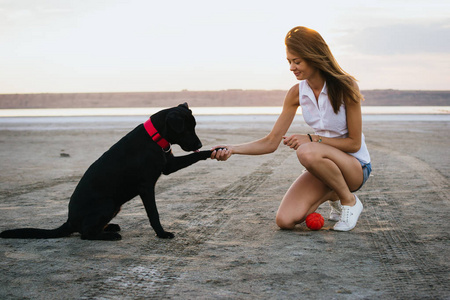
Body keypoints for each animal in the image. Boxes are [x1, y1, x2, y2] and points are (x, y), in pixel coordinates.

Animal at [0, 103, 213, 241]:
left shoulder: (169, 166)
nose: (199, 144)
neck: (154, 138)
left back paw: (110, 227)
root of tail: (69, 221)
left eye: (194, 127)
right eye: (186, 128)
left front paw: (214, 151)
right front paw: (162, 234)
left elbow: (196, 157)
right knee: (85, 234)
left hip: (115, 206)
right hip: (109, 203)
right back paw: (110, 235)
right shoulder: (146, 187)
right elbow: (154, 214)